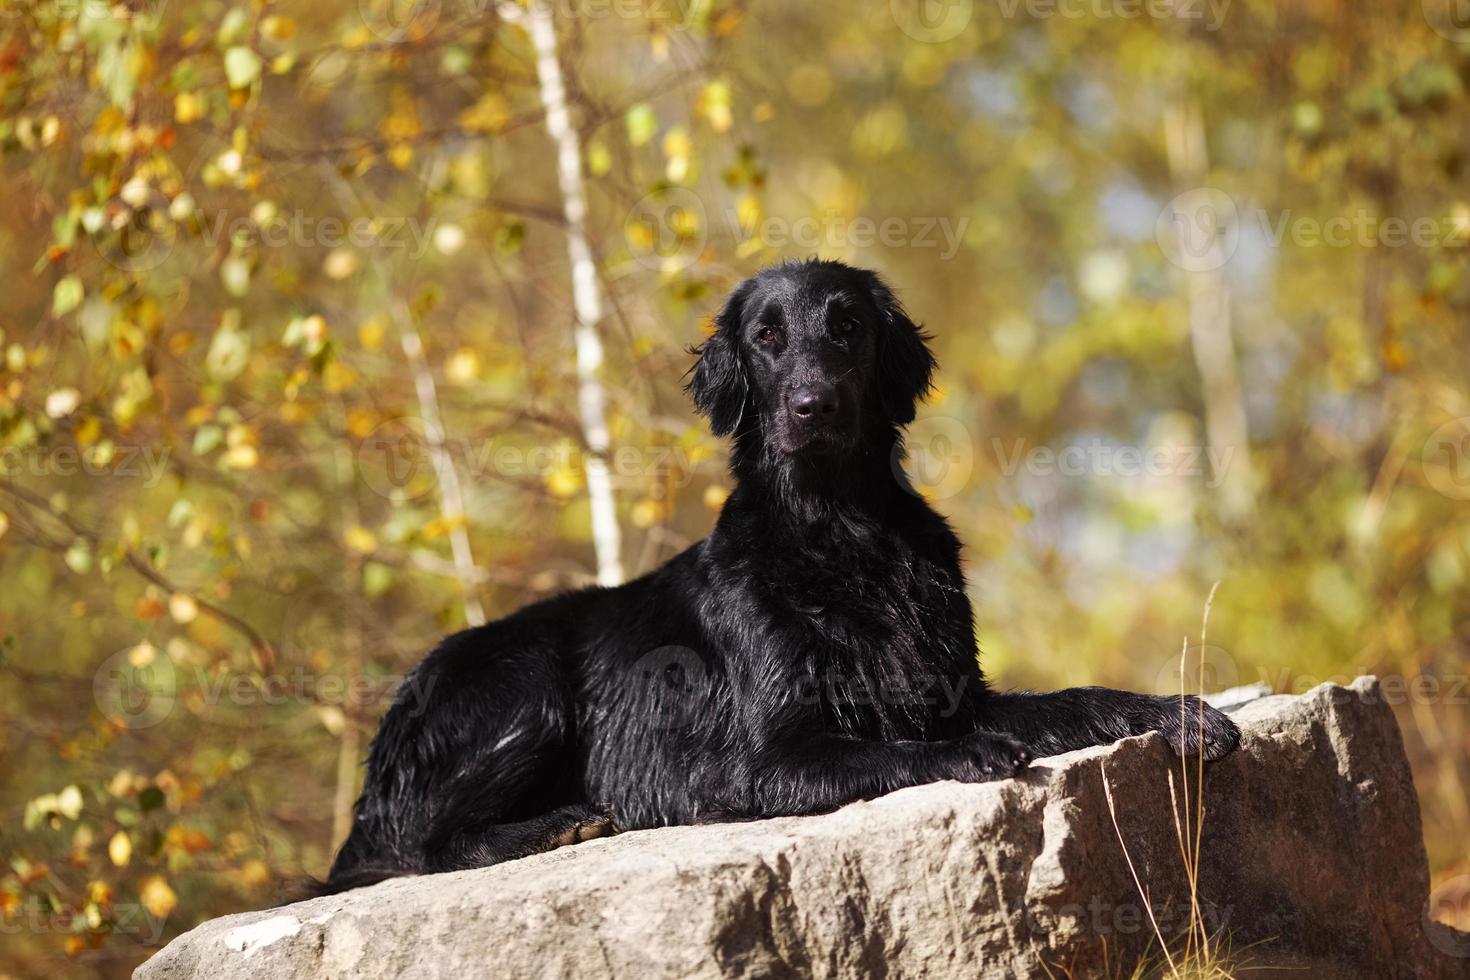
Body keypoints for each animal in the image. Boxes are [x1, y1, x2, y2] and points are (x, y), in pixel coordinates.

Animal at [316, 258, 1234, 899]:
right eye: (765, 336)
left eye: (848, 326)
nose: (811, 406)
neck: (839, 532)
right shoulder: (763, 759)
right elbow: (894, 749)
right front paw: (972, 753)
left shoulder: (953, 687)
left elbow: (1075, 699)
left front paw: (1178, 712)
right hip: (526, 687)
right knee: (419, 846)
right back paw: (557, 827)